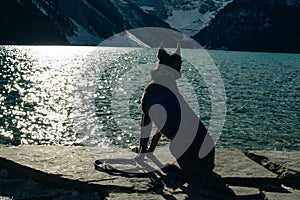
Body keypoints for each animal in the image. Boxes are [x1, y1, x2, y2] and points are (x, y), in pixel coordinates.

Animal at [139, 42, 214, 177]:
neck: (165, 77)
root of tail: (211, 166)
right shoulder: (159, 125)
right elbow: (154, 140)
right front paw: (149, 153)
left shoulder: (146, 116)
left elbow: (143, 140)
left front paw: (139, 159)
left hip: (174, 146)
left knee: (187, 172)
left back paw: (172, 167)